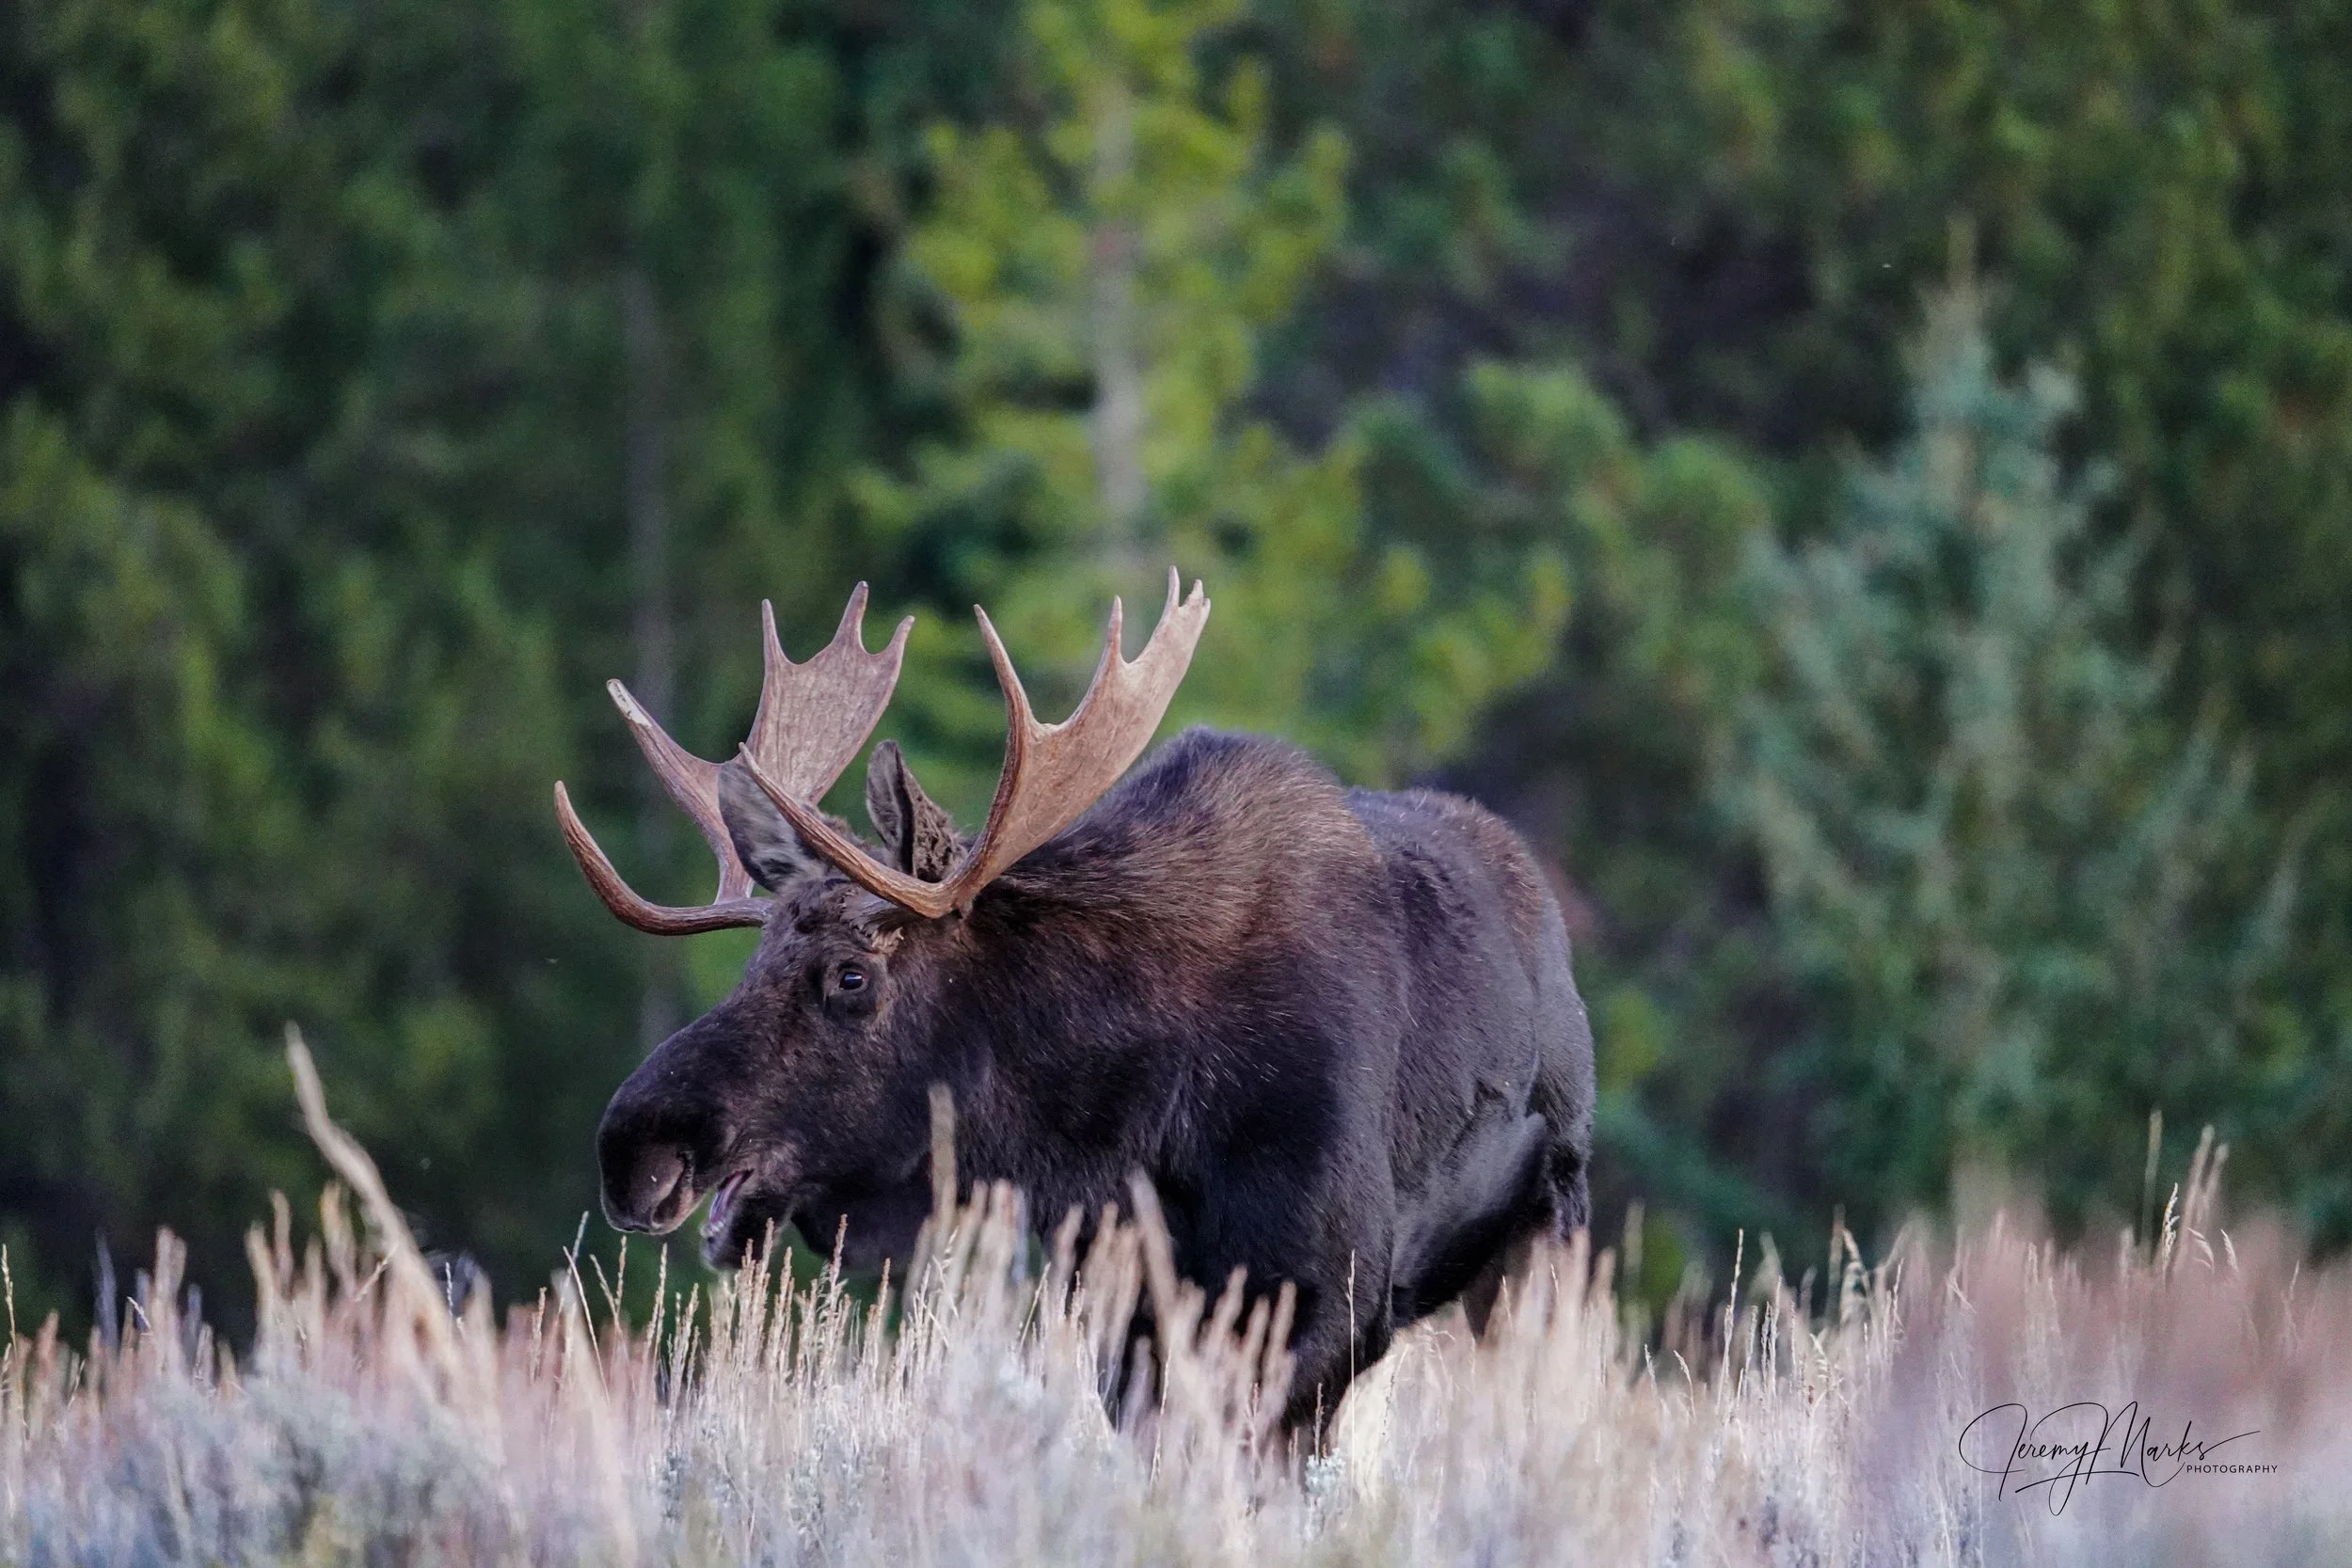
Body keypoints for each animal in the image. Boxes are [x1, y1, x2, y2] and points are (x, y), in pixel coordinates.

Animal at [557, 573, 1593, 1432]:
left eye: (852, 975)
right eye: (757, 954)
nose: (633, 1148)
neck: (1134, 1122)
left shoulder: (1329, 1300)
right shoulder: (1127, 1312)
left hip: (1544, 1238)